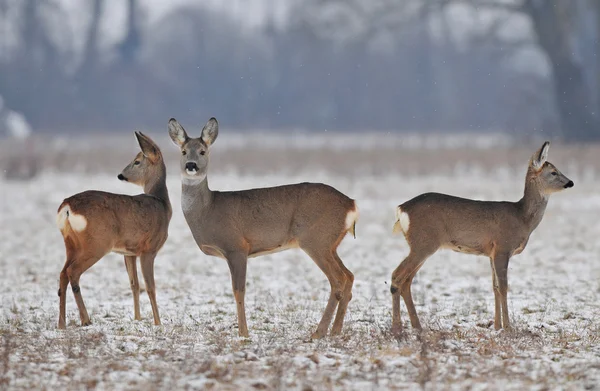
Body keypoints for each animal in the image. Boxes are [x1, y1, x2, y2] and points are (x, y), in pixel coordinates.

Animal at [55, 133, 171, 330]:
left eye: (137, 161)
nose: (120, 175)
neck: (162, 203)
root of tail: (67, 206)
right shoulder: (149, 249)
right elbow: (150, 286)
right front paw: (158, 323)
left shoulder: (129, 252)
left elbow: (134, 284)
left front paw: (137, 318)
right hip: (97, 243)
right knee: (73, 272)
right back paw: (85, 319)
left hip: (70, 243)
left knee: (63, 273)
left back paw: (61, 323)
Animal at [166, 117, 358, 340]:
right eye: (183, 151)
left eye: (203, 151)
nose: (191, 165)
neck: (208, 210)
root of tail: (351, 204)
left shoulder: (236, 247)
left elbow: (238, 291)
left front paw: (243, 333)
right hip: (331, 243)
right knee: (349, 276)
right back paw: (335, 331)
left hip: (316, 239)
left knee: (338, 280)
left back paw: (319, 332)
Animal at [392, 142, 576, 334]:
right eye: (553, 172)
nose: (570, 182)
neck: (522, 218)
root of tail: (401, 208)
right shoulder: (503, 247)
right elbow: (503, 287)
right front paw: (508, 328)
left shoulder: (491, 253)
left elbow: (494, 287)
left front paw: (497, 326)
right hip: (423, 242)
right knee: (397, 276)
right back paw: (397, 328)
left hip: (422, 245)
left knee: (406, 281)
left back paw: (417, 327)